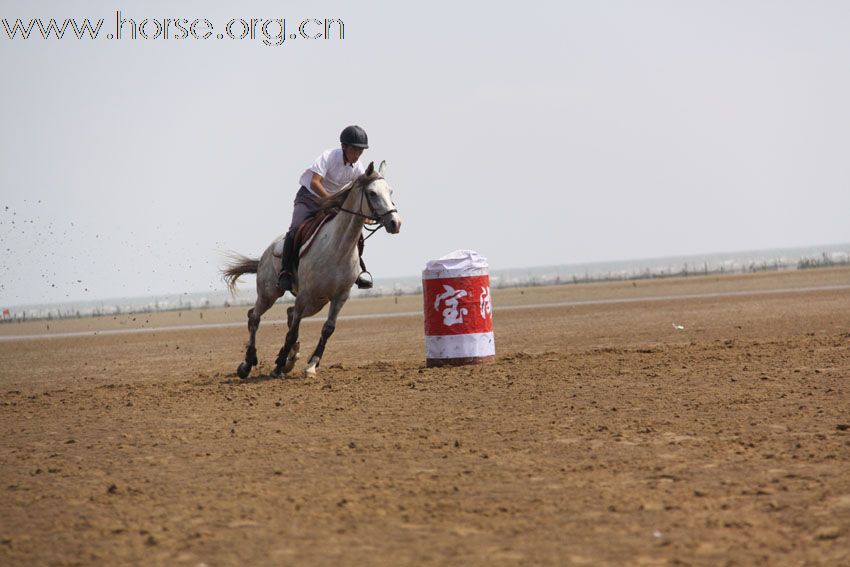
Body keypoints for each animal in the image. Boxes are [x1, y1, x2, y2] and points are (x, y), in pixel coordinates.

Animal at [222, 162, 400, 380]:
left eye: (390, 191)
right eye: (373, 193)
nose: (395, 223)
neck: (338, 248)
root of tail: (266, 252)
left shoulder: (340, 297)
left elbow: (327, 329)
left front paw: (311, 365)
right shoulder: (304, 294)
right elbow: (292, 332)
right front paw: (278, 367)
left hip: (318, 302)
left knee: (288, 314)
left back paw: (289, 358)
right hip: (270, 293)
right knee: (254, 317)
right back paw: (248, 364)